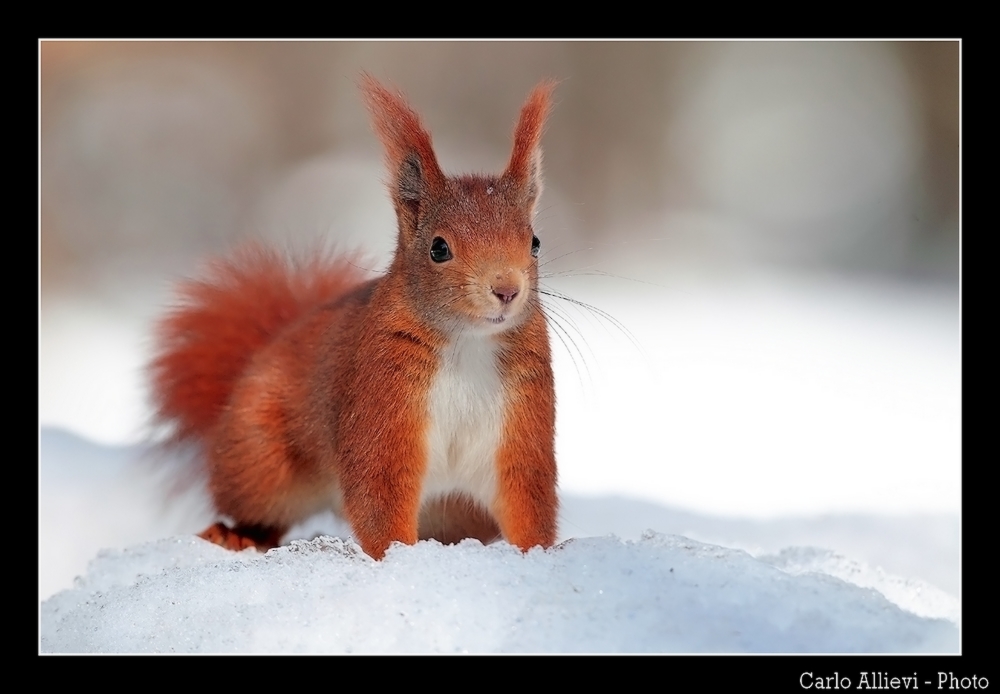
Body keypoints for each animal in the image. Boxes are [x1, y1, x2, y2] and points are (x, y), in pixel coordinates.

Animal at [149, 76, 559, 560]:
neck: (468, 342)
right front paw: (397, 557)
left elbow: (526, 496)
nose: (506, 290)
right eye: (439, 248)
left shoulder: (520, 423)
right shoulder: (380, 401)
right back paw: (238, 534)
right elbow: (378, 492)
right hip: (260, 459)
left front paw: (540, 556)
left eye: (535, 242)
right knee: (255, 506)